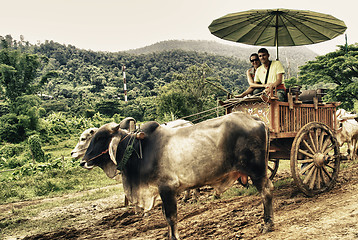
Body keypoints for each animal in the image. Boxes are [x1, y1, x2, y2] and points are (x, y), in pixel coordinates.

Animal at [80, 113, 272, 240]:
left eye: (100, 138)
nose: (82, 162)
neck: (137, 150)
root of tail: (255, 119)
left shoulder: (167, 188)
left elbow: (171, 216)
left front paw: (174, 237)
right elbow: (166, 216)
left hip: (257, 170)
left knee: (267, 191)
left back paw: (268, 224)